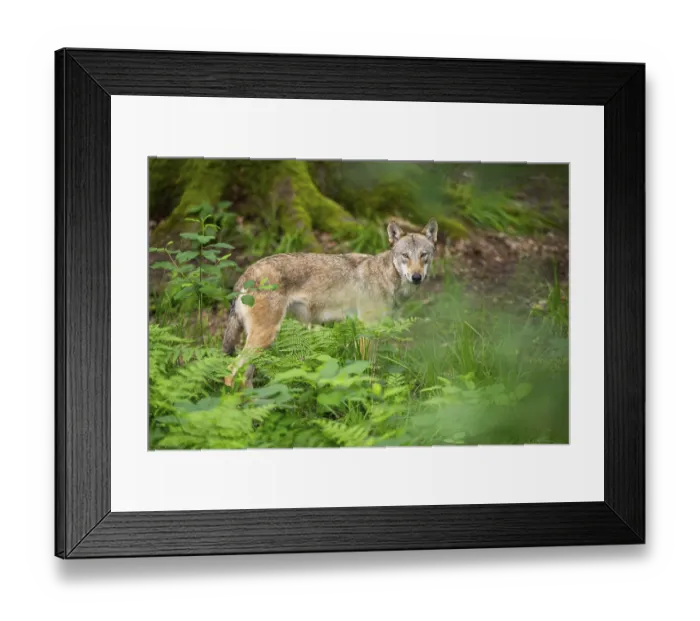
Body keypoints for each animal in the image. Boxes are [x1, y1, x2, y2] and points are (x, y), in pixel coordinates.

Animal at [222, 218, 438, 385]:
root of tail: (248, 272)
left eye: (423, 255)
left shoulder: (374, 332)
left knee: (245, 375)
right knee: (231, 372)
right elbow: (367, 367)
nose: (417, 277)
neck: (387, 277)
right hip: (265, 337)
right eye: (405, 256)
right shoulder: (366, 331)